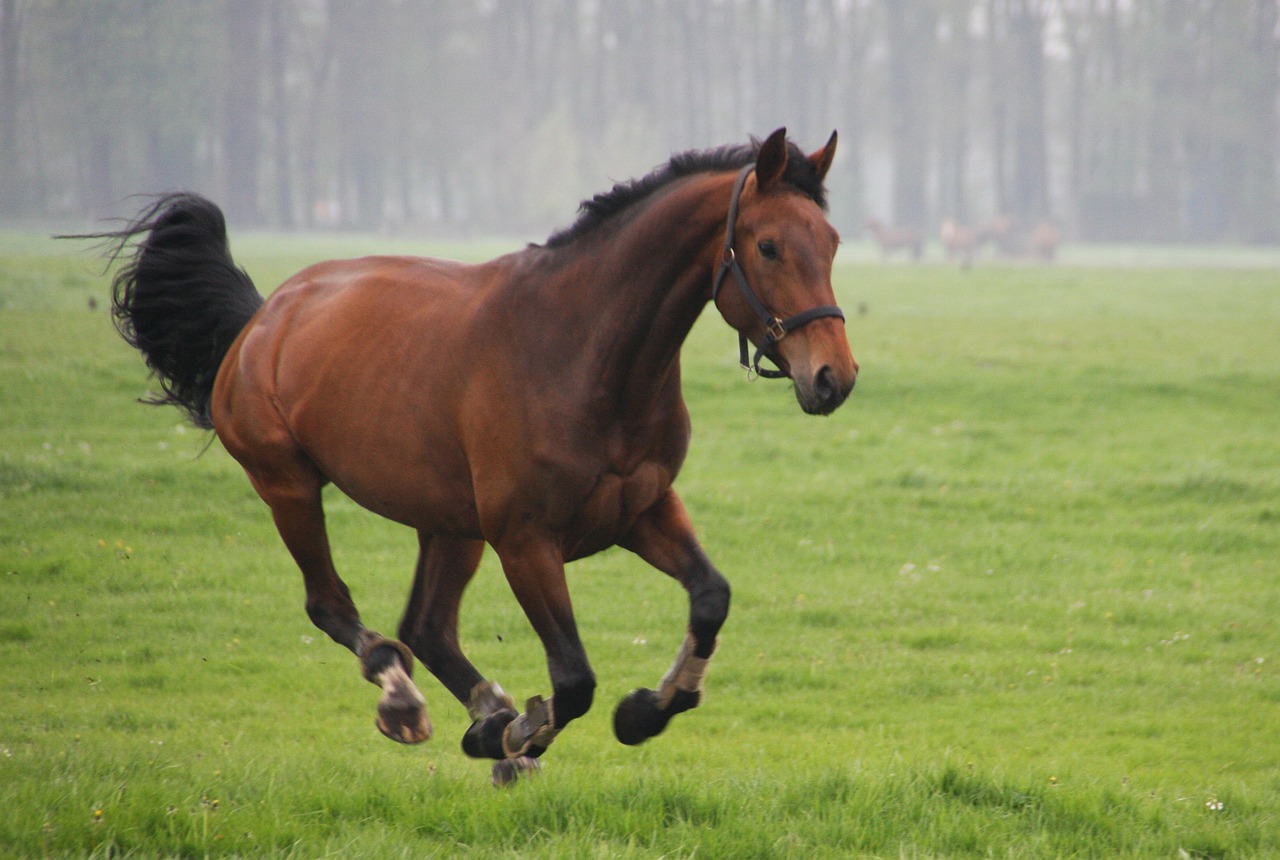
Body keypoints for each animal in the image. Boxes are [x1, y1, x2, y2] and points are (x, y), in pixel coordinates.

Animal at [92, 129, 860, 788]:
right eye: (767, 246)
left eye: (831, 241)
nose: (834, 378)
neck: (582, 352)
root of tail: (264, 315)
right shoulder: (525, 541)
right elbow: (574, 680)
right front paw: (516, 734)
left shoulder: (640, 510)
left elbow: (710, 598)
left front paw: (644, 710)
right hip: (289, 486)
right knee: (339, 610)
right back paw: (412, 702)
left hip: (449, 524)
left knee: (427, 627)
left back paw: (487, 711)